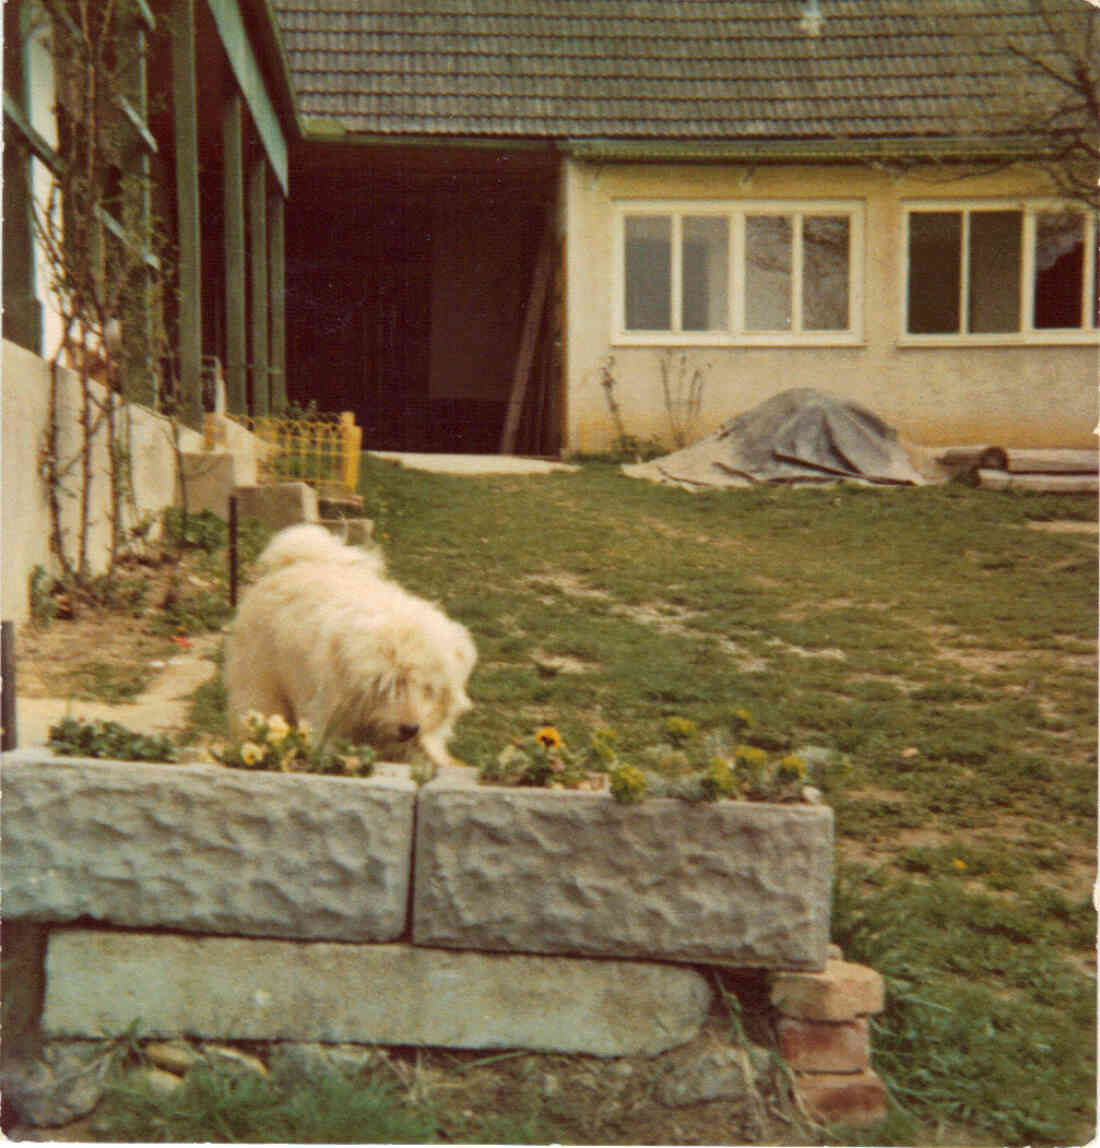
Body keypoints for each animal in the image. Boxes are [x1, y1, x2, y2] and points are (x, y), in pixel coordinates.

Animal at [225, 525, 477, 766]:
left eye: (426, 686)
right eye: (385, 684)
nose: (410, 729)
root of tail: (298, 560)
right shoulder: (330, 724)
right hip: (261, 688)